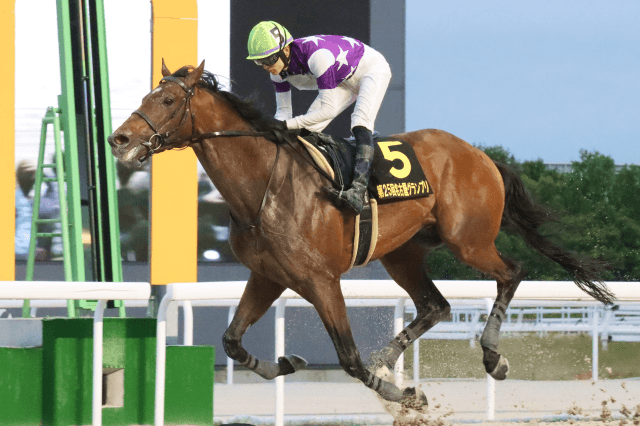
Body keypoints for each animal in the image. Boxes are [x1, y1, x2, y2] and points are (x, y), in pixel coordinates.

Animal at [108, 60, 614, 406]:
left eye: (167, 101)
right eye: (149, 95)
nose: (120, 139)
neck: (264, 186)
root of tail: (481, 155)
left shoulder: (320, 280)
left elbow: (348, 358)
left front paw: (405, 395)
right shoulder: (268, 276)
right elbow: (232, 341)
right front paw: (289, 362)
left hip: (468, 241)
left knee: (512, 272)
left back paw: (492, 355)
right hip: (402, 254)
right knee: (436, 305)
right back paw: (387, 359)